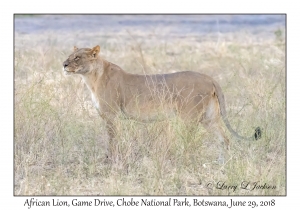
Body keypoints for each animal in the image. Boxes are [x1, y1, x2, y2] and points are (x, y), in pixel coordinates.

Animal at [62, 45, 260, 163]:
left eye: (77, 58)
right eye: (69, 56)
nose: (64, 64)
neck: (91, 78)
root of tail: (209, 78)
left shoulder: (111, 114)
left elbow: (112, 139)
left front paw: (110, 159)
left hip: (189, 118)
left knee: (190, 141)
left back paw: (183, 160)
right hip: (209, 117)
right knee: (224, 139)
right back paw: (222, 163)